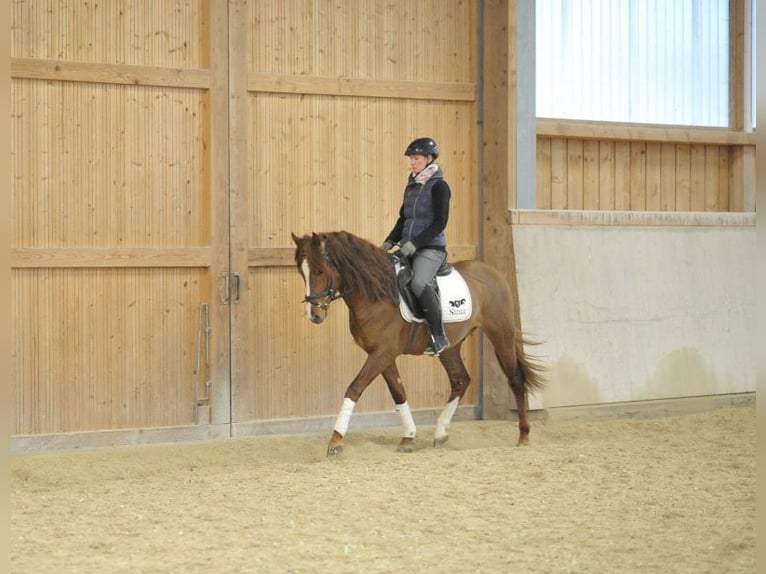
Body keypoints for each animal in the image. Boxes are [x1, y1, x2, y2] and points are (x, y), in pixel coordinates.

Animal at [290, 231, 544, 460]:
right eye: (302, 272)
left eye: (320, 270)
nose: (314, 316)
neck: (376, 295)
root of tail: (493, 272)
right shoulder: (383, 354)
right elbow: (399, 392)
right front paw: (408, 437)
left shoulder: (382, 353)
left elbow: (354, 388)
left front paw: (335, 441)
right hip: (450, 347)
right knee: (460, 381)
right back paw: (440, 432)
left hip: (501, 333)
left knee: (515, 379)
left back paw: (524, 436)